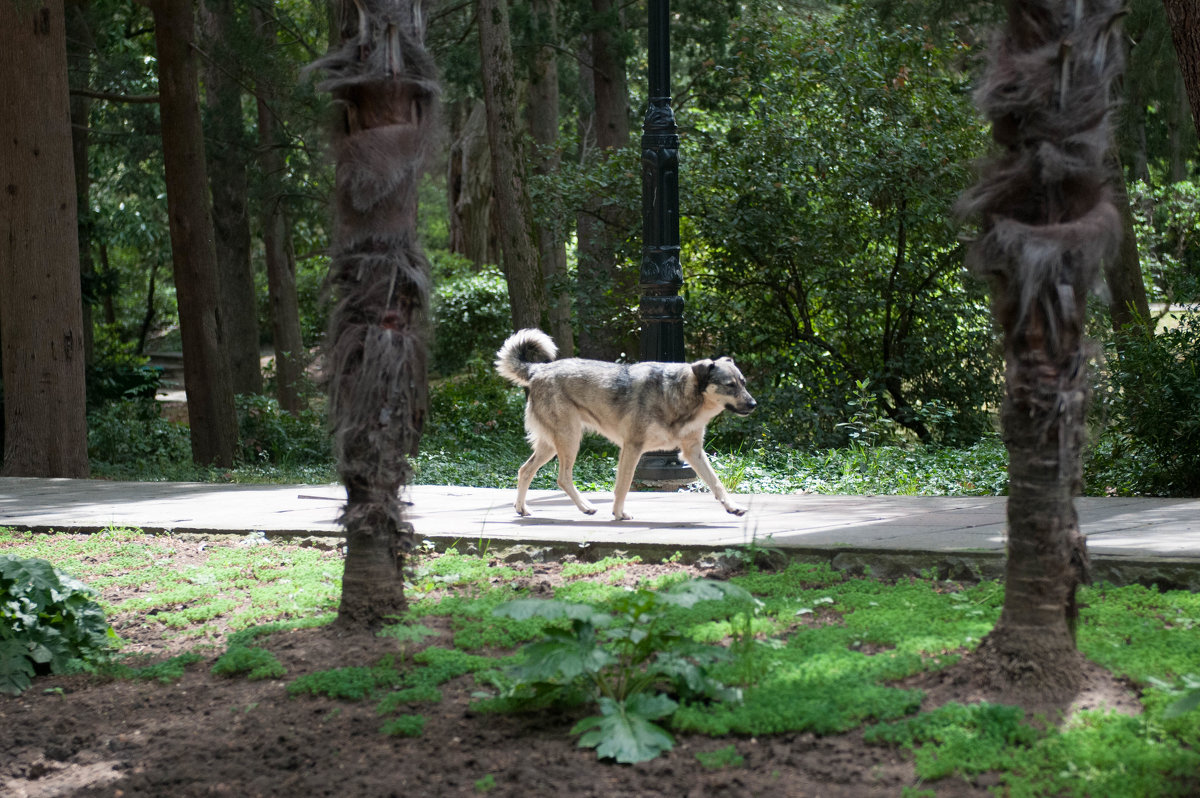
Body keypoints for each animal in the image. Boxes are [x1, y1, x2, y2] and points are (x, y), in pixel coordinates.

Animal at [492, 326, 753, 520]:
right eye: (730, 385)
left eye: (743, 382)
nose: (753, 404)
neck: (680, 395)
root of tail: (539, 369)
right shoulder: (632, 447)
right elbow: (624, 484)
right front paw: (619, 513)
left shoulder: (693, 452)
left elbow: (716, 482)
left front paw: (733, 506)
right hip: (569, 440)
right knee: (562, 477)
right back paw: (586, 506)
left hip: (552, 446)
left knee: (525, 470)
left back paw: (522, 508)